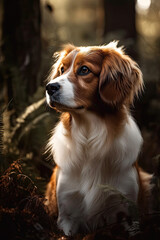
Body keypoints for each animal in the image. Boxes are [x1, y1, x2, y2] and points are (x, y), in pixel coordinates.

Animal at [44, 41, 151, 236]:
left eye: (84, 70)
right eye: (62, 69)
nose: (50, 87)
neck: (89, 135)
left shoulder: (128, 214)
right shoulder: (67, 216)